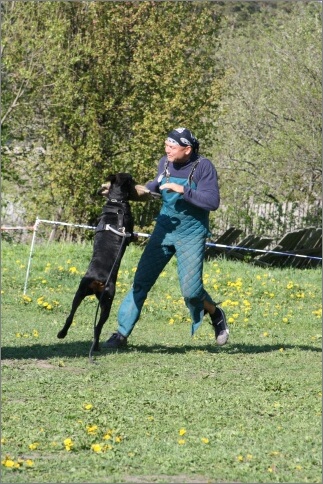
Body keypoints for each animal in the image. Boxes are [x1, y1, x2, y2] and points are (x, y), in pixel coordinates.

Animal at [58, 172, 159, 354]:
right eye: (131, 180)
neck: (116, 201)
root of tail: (98, 280)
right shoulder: (130, 233)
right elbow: (132, 235)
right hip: (108, 301)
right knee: (98, 326)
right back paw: (96, 346)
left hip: (81, 292)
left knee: (71, 315)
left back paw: (62, 334)